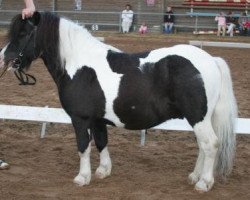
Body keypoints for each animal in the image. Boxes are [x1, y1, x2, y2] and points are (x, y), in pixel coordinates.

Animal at [0, 12, 237, 192]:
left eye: (23, 33)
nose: (4, 58)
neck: (80, 66)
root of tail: (211, 60)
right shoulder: (97, 120)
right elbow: (101, 142)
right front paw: (103, 171)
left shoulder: (80, 119)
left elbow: (83, 146)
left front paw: (82, 177)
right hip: (199, 119)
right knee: (202, 146)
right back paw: (195, 176)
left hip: (198, 118)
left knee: (210, 144)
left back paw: (204, 183)